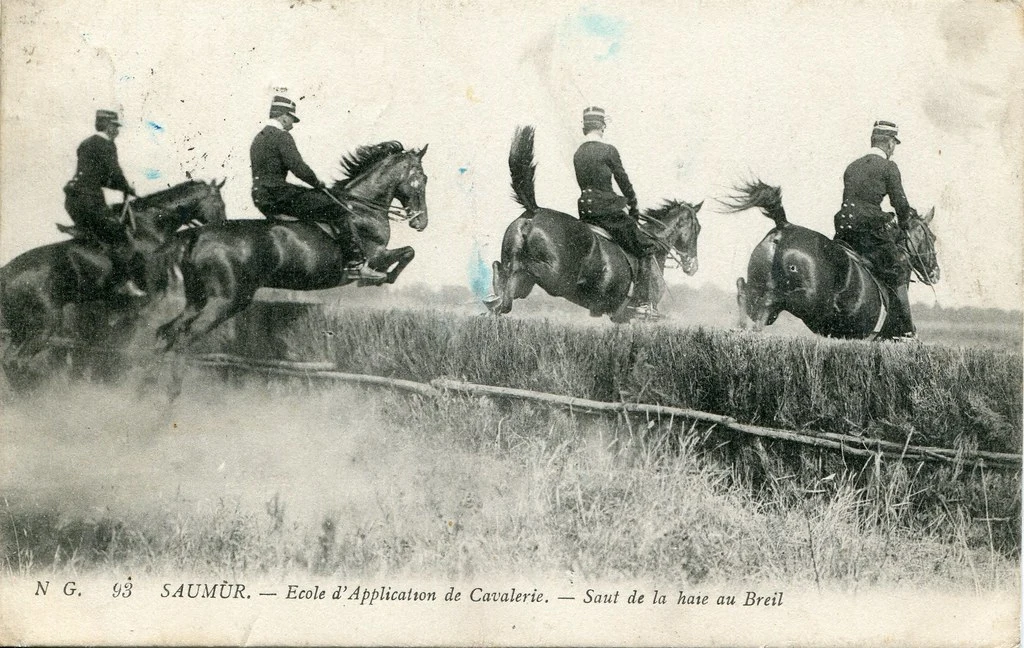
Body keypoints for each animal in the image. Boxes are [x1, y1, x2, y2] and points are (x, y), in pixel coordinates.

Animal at [0, 179, 228, 386]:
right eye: (220, 203)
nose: (223, 226)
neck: (150, 227)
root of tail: (6, 274)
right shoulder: (148, 297)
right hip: (44, 324)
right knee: (17, 361)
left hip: (21, 329)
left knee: (10, 361)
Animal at [153, 138, 430, 346]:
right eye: (423, 178)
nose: (421, 222)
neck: (360, 207)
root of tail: (197, 235)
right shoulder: (376, 254)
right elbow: (408, 252)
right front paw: (378, 278)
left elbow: (408, 252)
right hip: (225, 301)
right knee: (184, 338)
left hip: (198, 298)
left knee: (167, 331)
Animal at [487, 124, 704, 321]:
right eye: (698, 229)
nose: (693, 267)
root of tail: (535, 210)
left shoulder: (620, 318)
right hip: (557, 279)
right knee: (520, 273)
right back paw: (496, 299)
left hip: (522, 274)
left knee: (500, 272)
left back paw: (493, 300)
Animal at [724, 177, 937, 337]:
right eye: (933, 238)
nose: (935, 273)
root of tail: (784, 225)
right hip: (809, 300)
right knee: (771, 298)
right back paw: (752, 329)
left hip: (762, 288)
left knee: (744, 290)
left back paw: (742, 327)